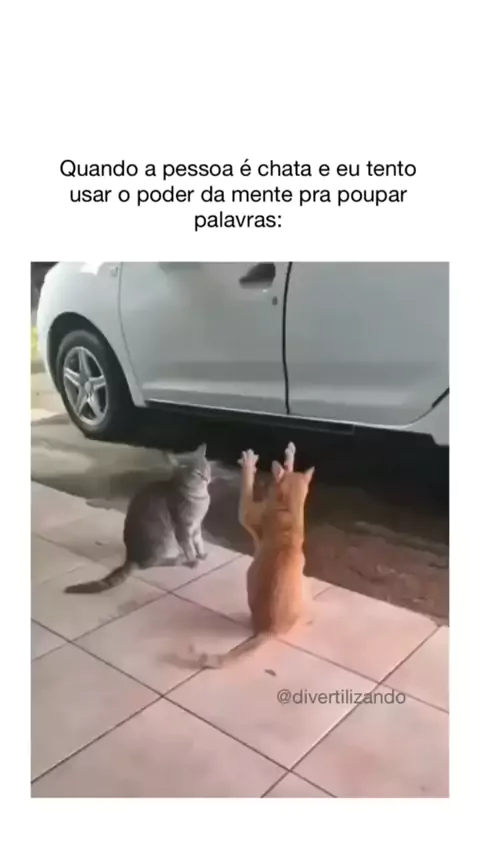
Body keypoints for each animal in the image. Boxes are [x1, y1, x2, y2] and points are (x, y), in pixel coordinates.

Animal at [64, 443, 212, 594]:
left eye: (207, 468)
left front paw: (201, 553)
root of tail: (131, 556)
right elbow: (189, 547)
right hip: (163, 539)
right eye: (197, 473)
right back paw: (178, 559)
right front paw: (193, 560)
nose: (207, 478)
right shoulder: (183, 526)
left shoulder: (196, 525)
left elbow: (198, 541)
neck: (199, 497)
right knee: (149, 564)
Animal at [190, 442, 314, 667]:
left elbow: (246, 489)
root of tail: (270, 631)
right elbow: (289, 467)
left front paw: (249, 465)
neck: (289, 510)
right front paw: (290, 455)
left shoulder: (246, 513)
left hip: (249, 575)